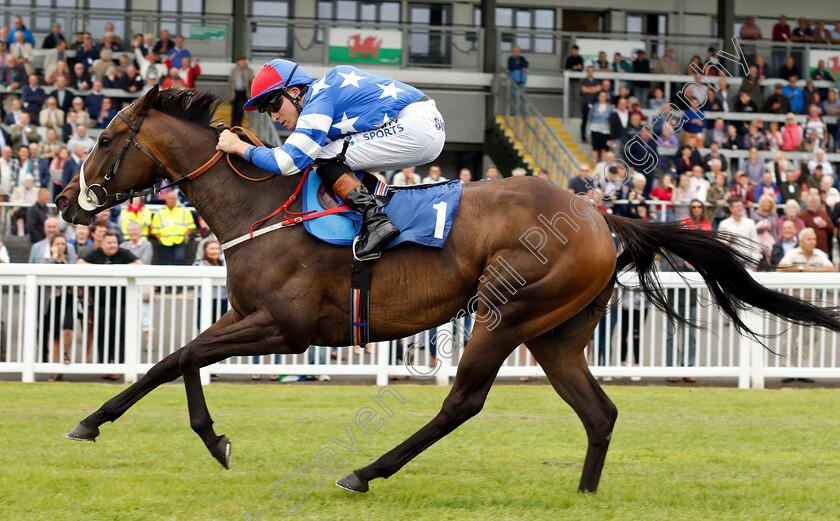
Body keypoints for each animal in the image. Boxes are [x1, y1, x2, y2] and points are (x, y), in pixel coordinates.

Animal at [57, 88, 840, 496]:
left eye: (107, 138)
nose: (66, 199)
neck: (263, 205)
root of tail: (598, 214)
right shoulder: (250, 316)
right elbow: (179, 359)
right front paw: (182, 433)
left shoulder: (285, 326)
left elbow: (174, 359)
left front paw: (111, 424)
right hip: (556, 333)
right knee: (600, 411)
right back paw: (584, 495)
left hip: (506, 311)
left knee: (462, 402)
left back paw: (365, 472)